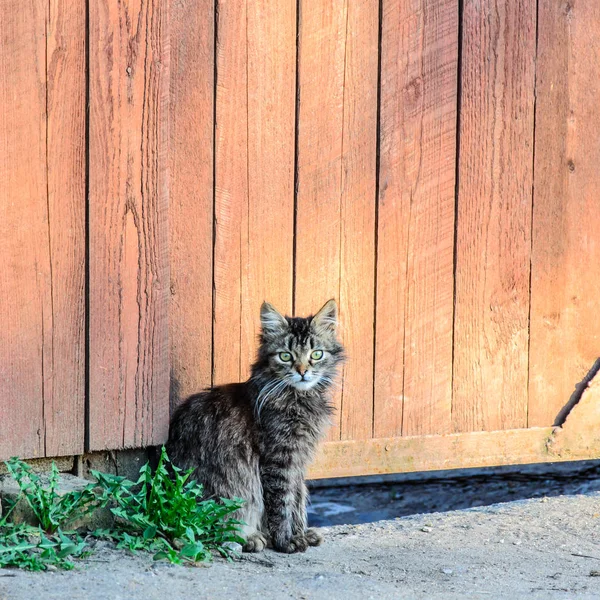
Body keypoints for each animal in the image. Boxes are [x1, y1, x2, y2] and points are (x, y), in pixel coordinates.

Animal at [166, 298, 344, 552]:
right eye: (285, 356)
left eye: (316, 354)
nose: (302, 372)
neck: (299, 398)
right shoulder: (278, 460)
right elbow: (281, 505)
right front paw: (286, 540)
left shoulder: (298, 460)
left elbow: (298, 499)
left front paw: (301, 533)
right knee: (208, 532)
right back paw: (250, 538)